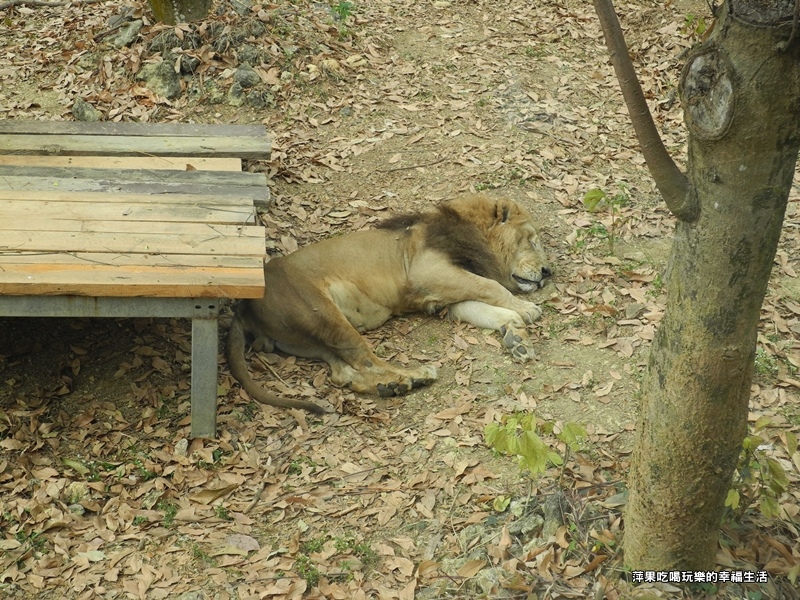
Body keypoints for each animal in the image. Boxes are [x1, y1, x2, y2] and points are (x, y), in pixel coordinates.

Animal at [225, 195, 552, 414]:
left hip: (312, 337)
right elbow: (490, 286)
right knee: (367, 360)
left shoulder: (443, 295)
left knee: (344, 372)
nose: (549, 272)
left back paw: (391, 386)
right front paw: (525, 309)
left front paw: (516, 335)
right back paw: (414, 377)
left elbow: (485, 307)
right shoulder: (428, 271)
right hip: (322, 313)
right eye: (531, 240)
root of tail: (244, 305)